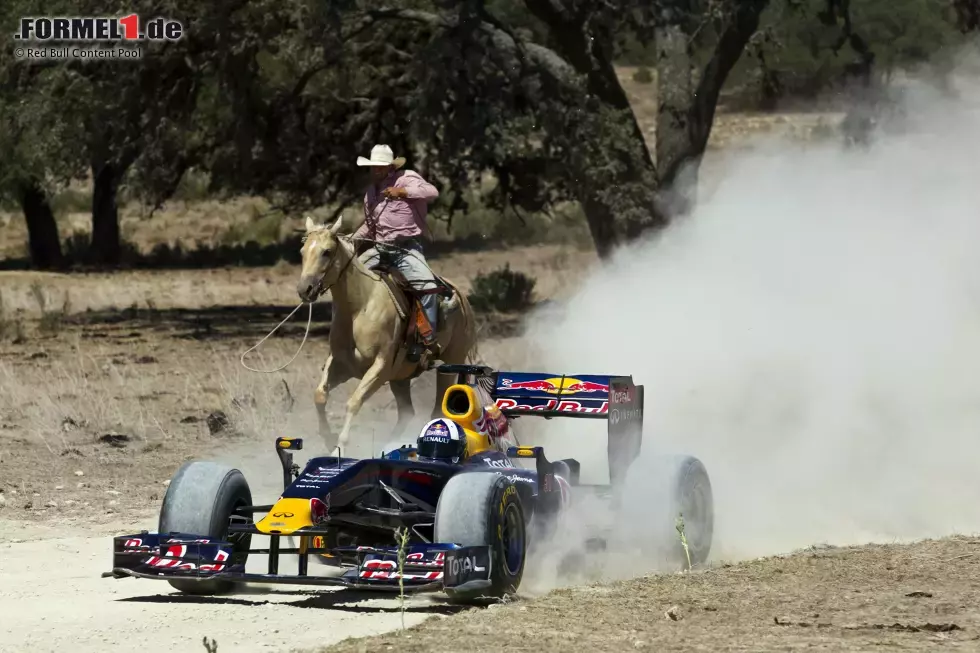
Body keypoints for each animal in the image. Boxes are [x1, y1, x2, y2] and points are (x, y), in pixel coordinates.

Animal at [298, 216, 482, 456]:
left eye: (326, 252)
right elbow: (320, 395)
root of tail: (462, 298)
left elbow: (354, 402)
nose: (305, 289)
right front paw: (328, 439)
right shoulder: (342, 364)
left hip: (450, 364)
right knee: (407, 413)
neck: (360, 307)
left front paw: (339, 447)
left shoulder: (380, 367)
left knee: (436, 410)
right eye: (302, 251)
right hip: (400, 377)